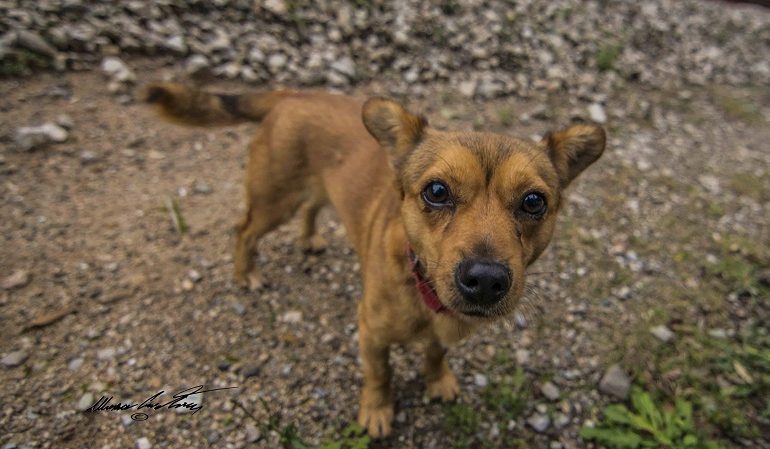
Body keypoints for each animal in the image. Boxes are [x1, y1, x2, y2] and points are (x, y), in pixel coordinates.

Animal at [142, 82, 600, 436]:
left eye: (534, 202)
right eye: (436, 191)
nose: (486, 280)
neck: (424, 293)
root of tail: (294, 94)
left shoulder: (439, 336)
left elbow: (435, 354)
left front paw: (438, 380)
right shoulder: (371, 334)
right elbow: (381, 375)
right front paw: (378, 411)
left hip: (314, 191)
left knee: (311, 209)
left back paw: (309, 239)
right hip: (274, 200)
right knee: (244, 230)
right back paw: (246, 272)